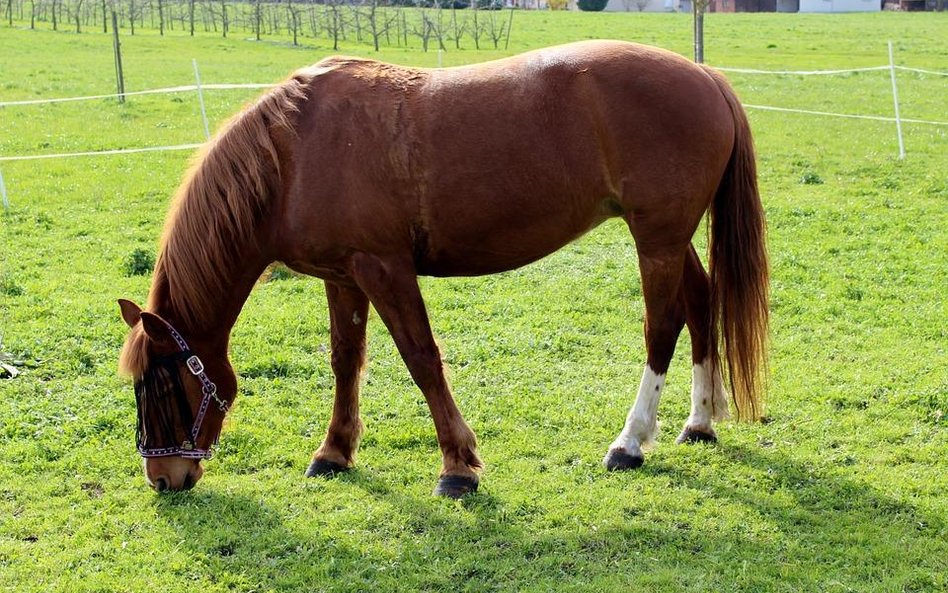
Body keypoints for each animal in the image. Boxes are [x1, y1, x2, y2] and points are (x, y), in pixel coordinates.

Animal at [118, 39, 772, 498]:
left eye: (161, 382)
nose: (163, 479)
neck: (294, 154)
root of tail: (705, 77)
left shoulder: (384, 269)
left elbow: (422, 360)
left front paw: (458, 467)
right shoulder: (343, 277)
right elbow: (345, 361)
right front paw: (334, 453)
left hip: (655, 239)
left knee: (663, 326)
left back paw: (630, 443)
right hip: (671, 238)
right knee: (702, 303)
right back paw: (700, 423)